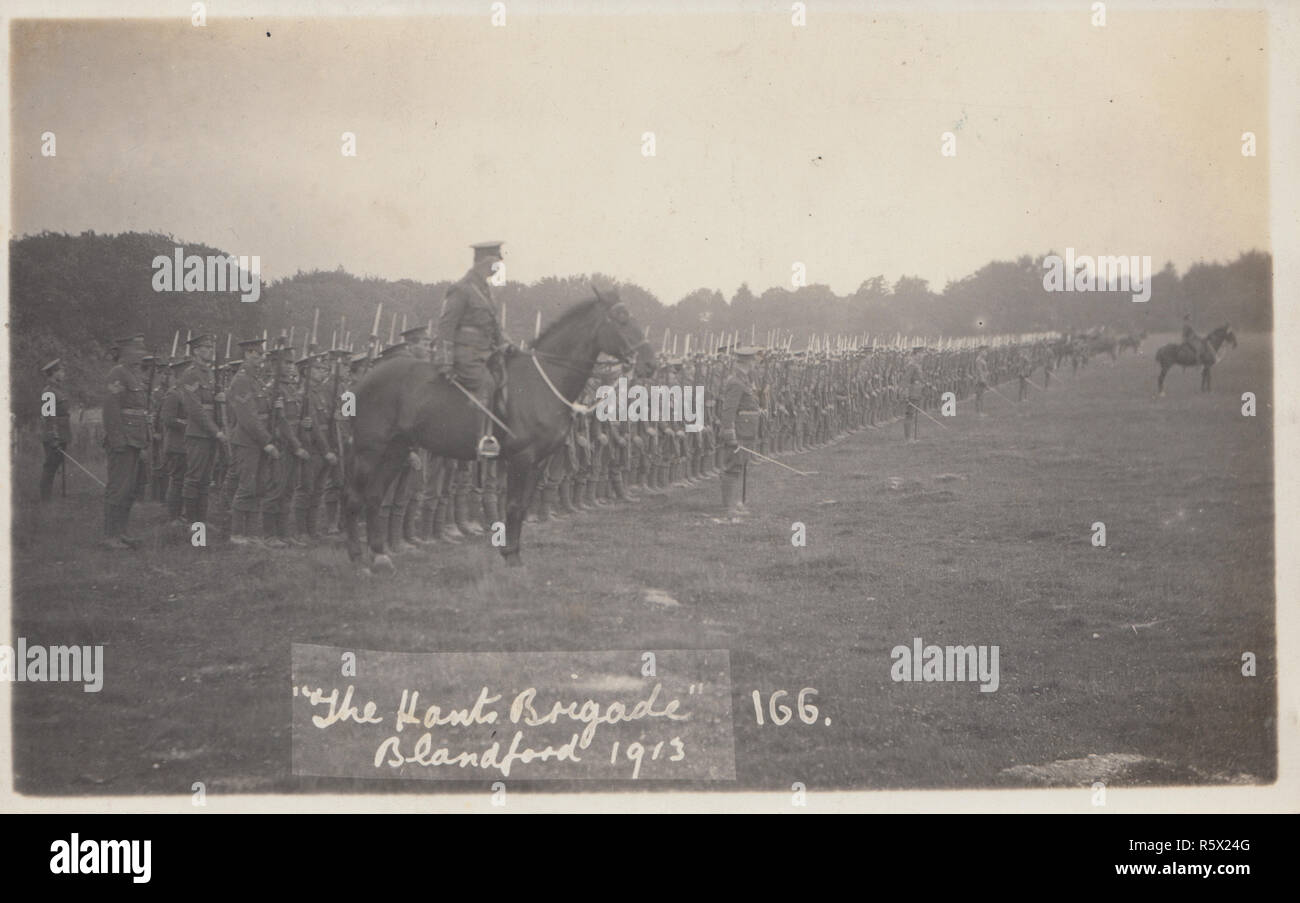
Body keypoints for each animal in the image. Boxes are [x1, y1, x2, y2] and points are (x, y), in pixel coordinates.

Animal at [343, 289, 655, 571]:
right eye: (622, 317)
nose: (650, 362)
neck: (541, 381)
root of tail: (364, 380)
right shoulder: (521, 459)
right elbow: (514, 506)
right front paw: (512, 558)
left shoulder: (539, 462)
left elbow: (524, 505)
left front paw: (512, 553)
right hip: (369, 451)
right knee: (355, 497)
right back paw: (357, 558)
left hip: (395, 450)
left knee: (374, 496)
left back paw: (380, 555)